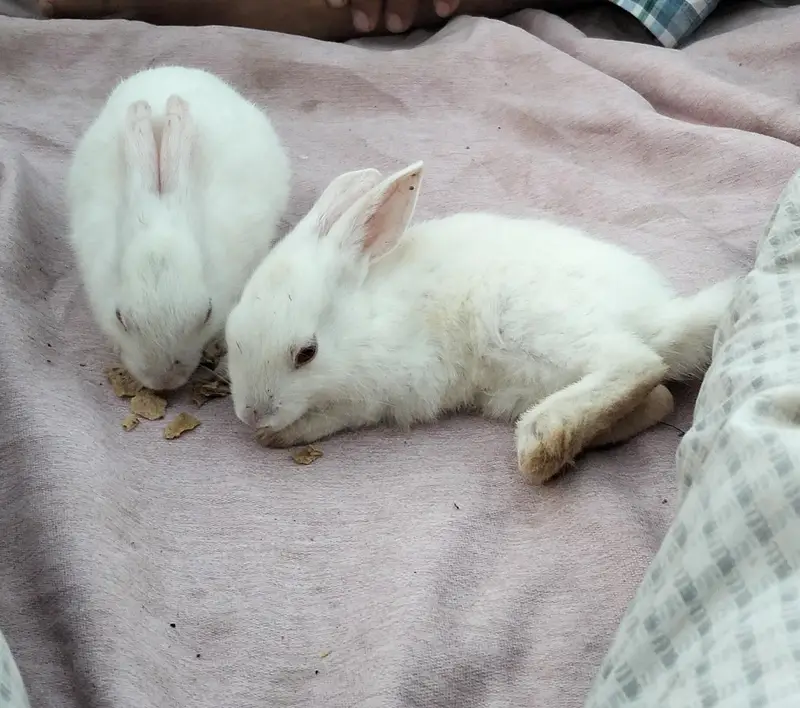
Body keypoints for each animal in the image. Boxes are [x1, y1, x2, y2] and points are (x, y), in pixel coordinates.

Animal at [224, 161, 735, 484]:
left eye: (306, 353)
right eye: (231, 336)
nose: (250, 414)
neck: (366, 317)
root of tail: (663, 315)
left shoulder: (381, 390)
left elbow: (334, 417)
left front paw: (278, 434)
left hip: (536, 328)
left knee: (637, 364)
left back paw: (541, 443)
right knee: (661, 397)